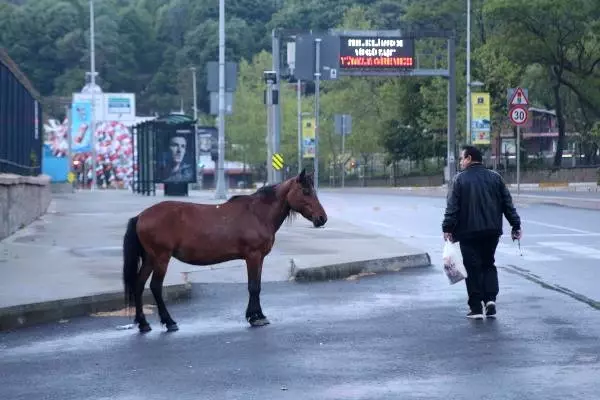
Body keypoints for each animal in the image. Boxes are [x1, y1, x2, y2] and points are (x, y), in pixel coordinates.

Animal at [123, 170, 328, 332]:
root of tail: (140, 216)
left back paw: (143, 324)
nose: (322, 218)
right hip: (161, 258)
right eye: (306, 191)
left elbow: (257, 286)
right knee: (155, 287)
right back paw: (169, 322)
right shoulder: (253, 256)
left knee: (139, 285)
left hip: (150, 259)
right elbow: (253, 286)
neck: (258, 213)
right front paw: (255, 317)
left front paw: (258, 315)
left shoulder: (259, 258)